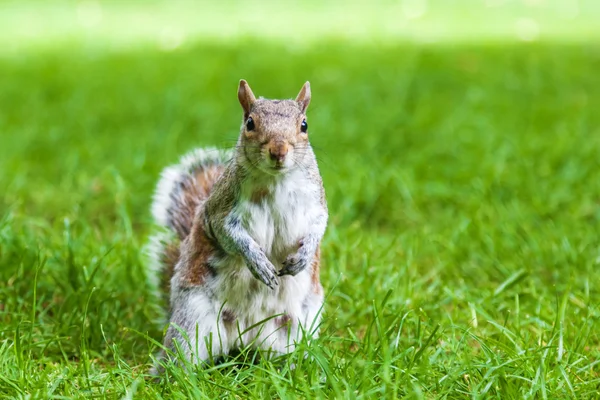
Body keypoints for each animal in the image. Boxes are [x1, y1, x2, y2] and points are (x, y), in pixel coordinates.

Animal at [148, 79, 330, 368]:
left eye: (304, 125)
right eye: (250, 123)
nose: (278, 151)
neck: (276, 181)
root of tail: (245, 339)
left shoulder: (316, 203)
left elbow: (319, 225)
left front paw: (304, 256)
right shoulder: (219, 212)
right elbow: (231, 235)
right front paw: (257, 262)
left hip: (298, 325)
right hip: (193, 321)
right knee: (180, 357)